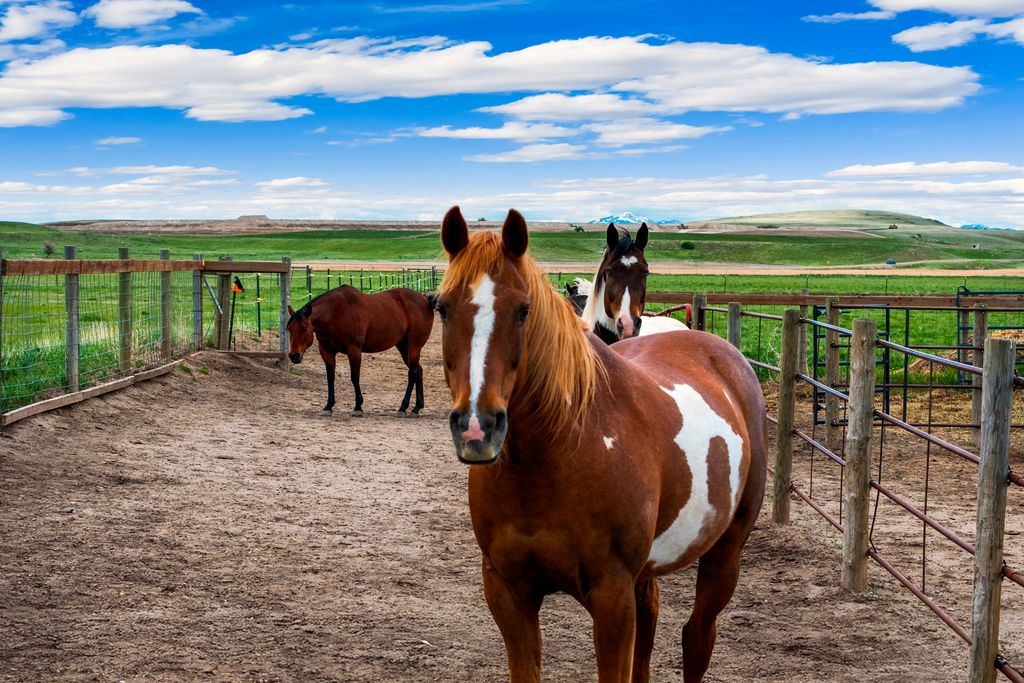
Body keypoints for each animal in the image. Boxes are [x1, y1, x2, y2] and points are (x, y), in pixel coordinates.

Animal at [285, 285, 434, 417]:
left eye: (305, 327)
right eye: (289, 329)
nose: (294, 356)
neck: (336, 313)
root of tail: (425, 300)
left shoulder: (354, 351)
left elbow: (354, 377)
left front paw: (358, 407)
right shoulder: (327, 352)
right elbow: (330, 378)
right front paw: (328, 406)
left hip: (413, 346)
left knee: (412, 373)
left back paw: (403, 408)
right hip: (403, 348)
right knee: (418, 371)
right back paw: (416, 408)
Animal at [435, 206, 766, 683]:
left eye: (523, 310)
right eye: (441, 307)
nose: (477, 427)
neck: (552, 459)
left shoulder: (612, 599)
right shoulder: (507, 592)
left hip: (726, 551)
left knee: (697, 637)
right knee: (652, 618)